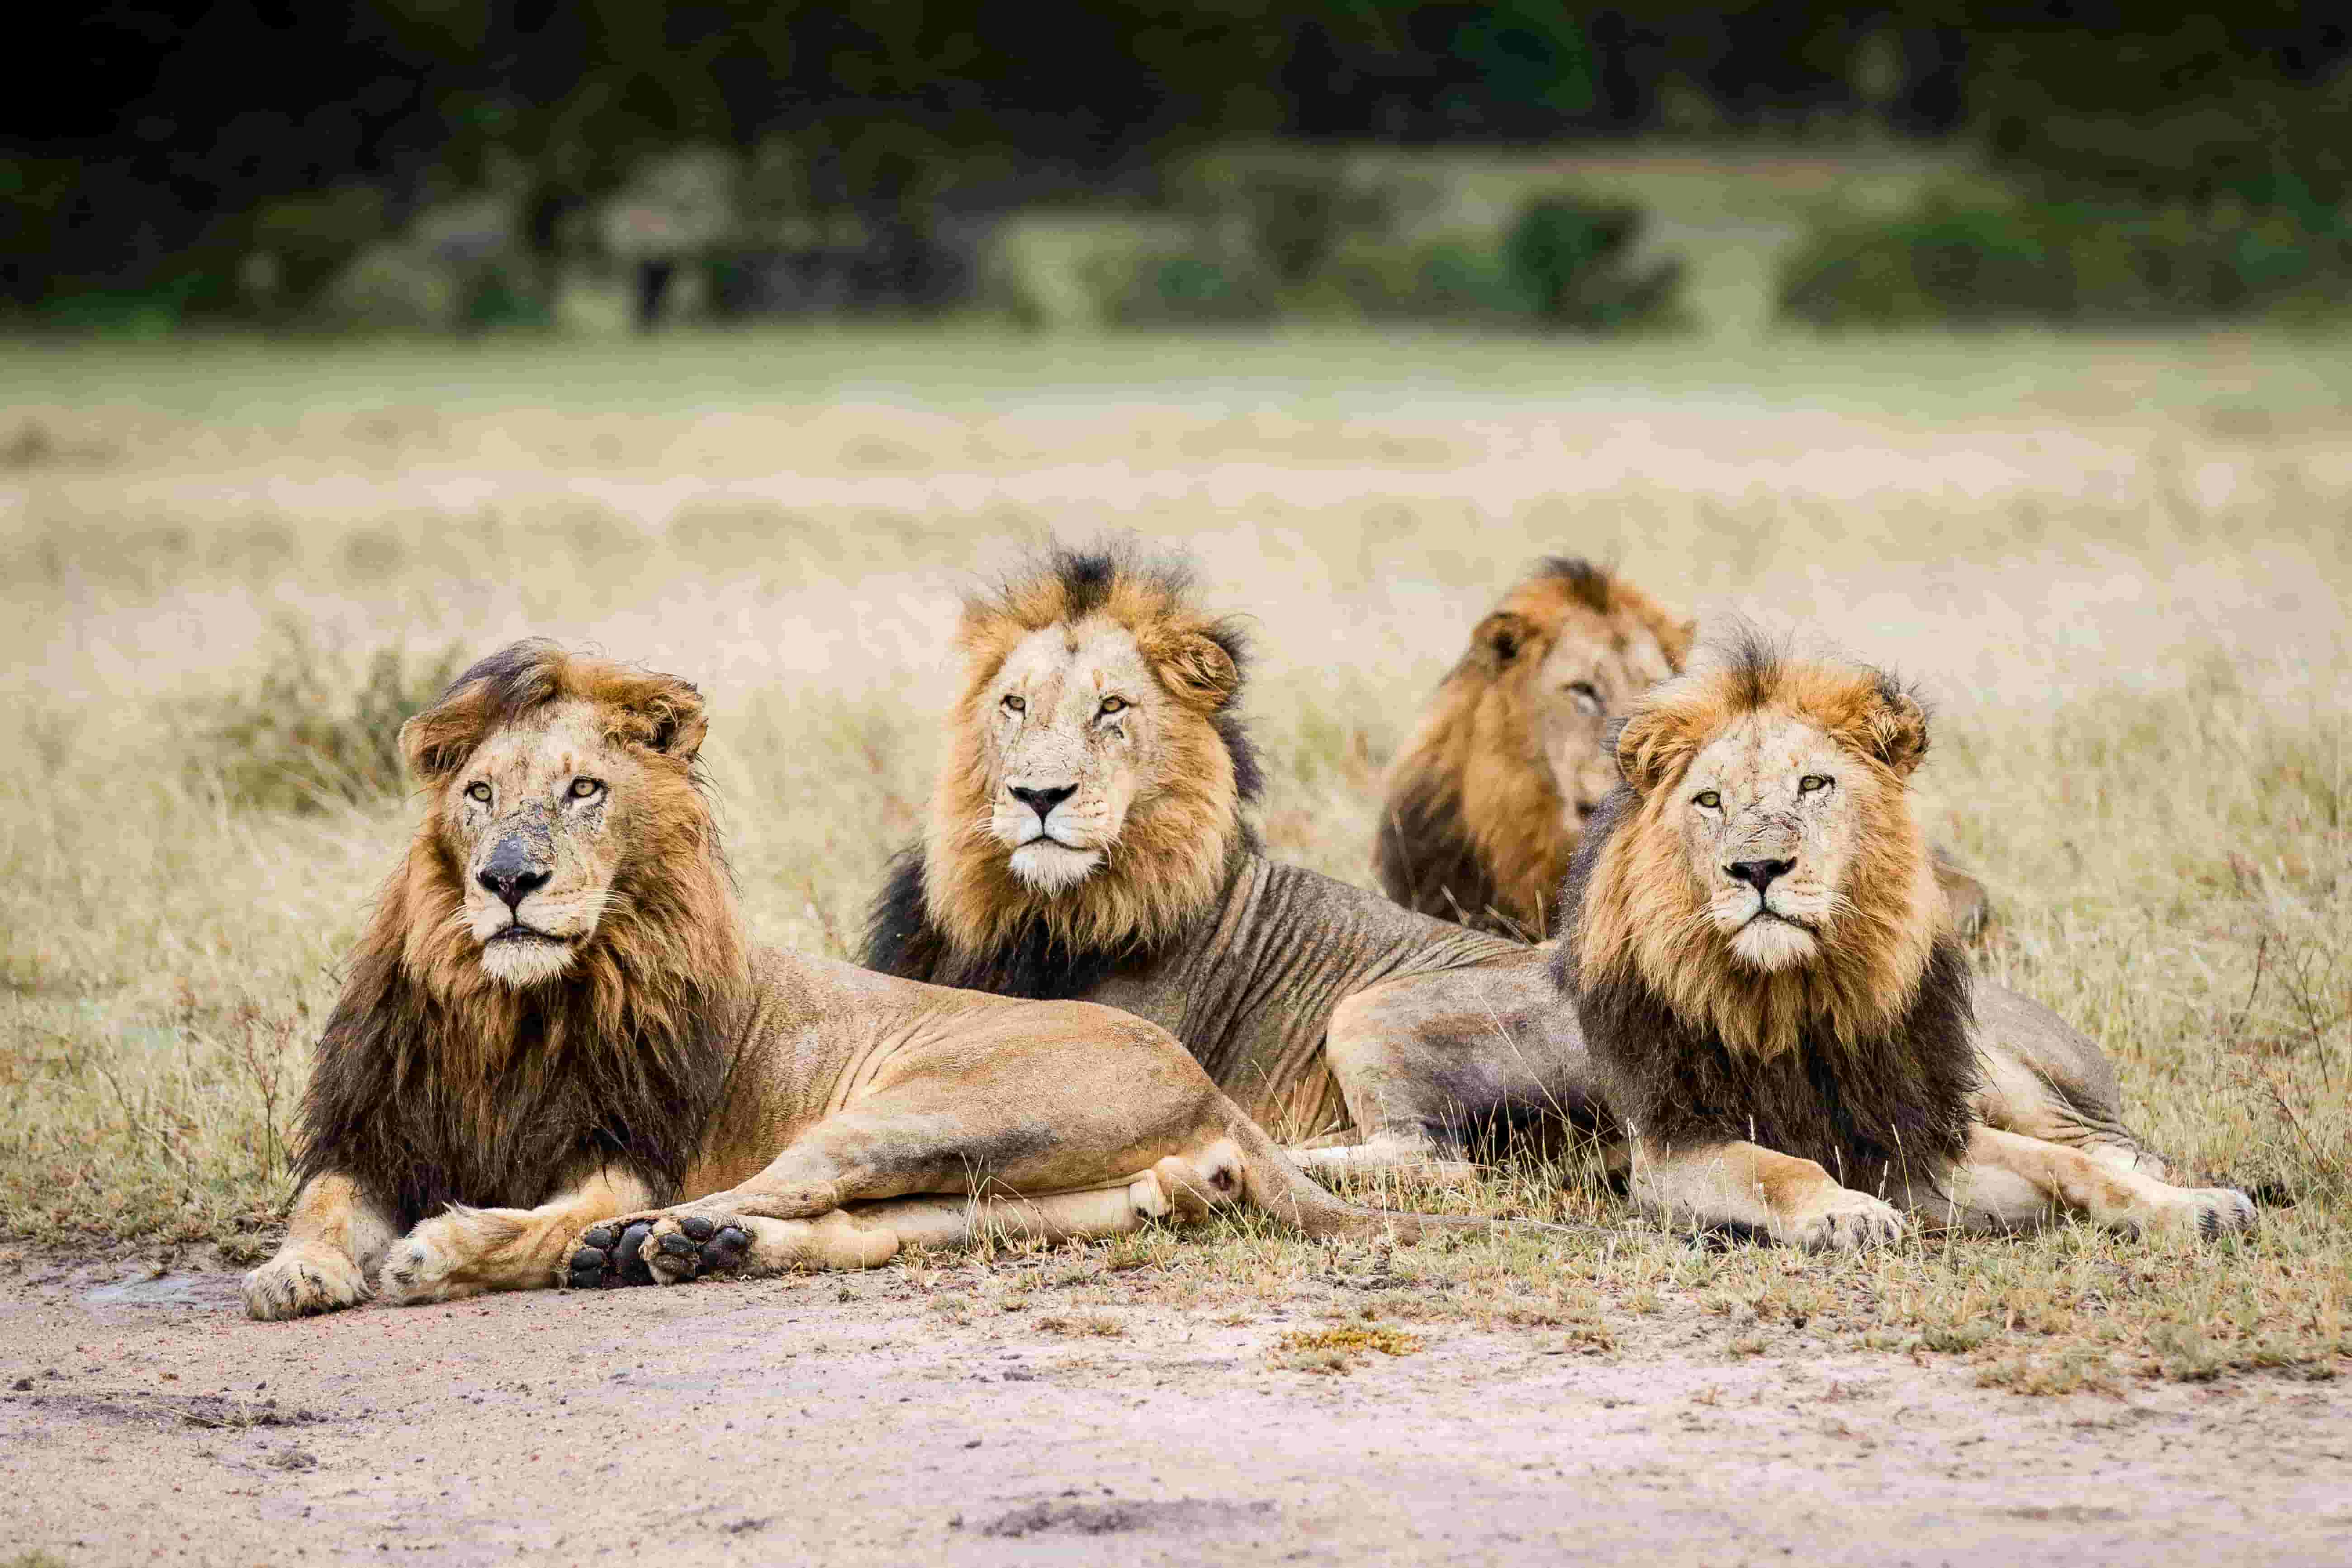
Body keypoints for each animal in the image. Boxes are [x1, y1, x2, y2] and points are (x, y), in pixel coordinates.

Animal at [243, 644, 1505, 1316]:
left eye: (583, 789)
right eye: (479, 795)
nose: (509, 879)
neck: (506, 1007)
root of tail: (1204, 1081)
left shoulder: (630, 1143)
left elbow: (561, 1204)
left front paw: (441, 1248)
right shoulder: (371, 1132)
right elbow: (320, 1210)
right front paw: (290, 1274)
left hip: (924, 1109)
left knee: (779, 1188)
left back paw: (640, 1244)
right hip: (1010, 1187)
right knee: (863, 1228)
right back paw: (696, 1251)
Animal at [1561, 639, 2258, 1251]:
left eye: (1813, 784)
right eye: (1709, 800)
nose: (1759, 867)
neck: (1793, 998)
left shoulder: (1917, 1132)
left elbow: (2067, 1165)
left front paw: (2195, 1208)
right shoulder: (1670, 1148)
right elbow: (1778, 1167)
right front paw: (1849, 1213)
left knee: (2103, 1145)